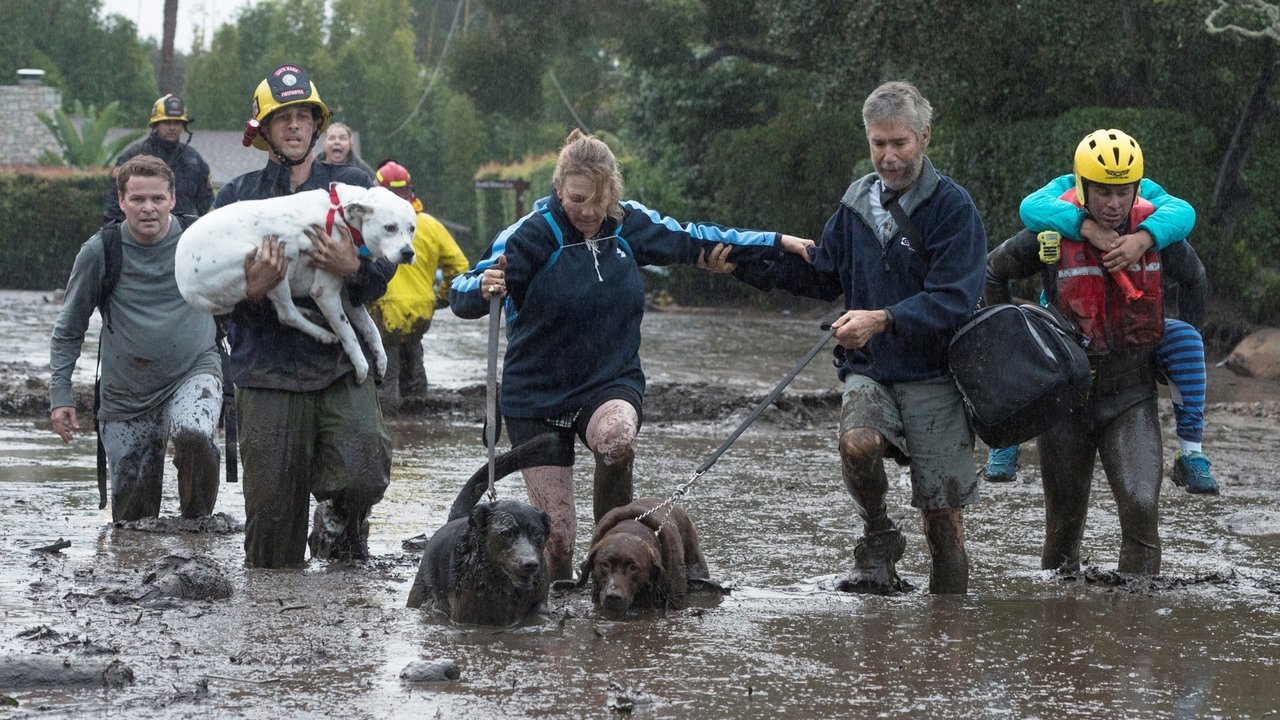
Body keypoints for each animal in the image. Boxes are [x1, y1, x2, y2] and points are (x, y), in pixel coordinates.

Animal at [401, 430, 558, 622]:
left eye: (536, 533)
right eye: (506, 533)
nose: (530, 564)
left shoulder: (538, 600)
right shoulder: (465, 615)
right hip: (420, 590)